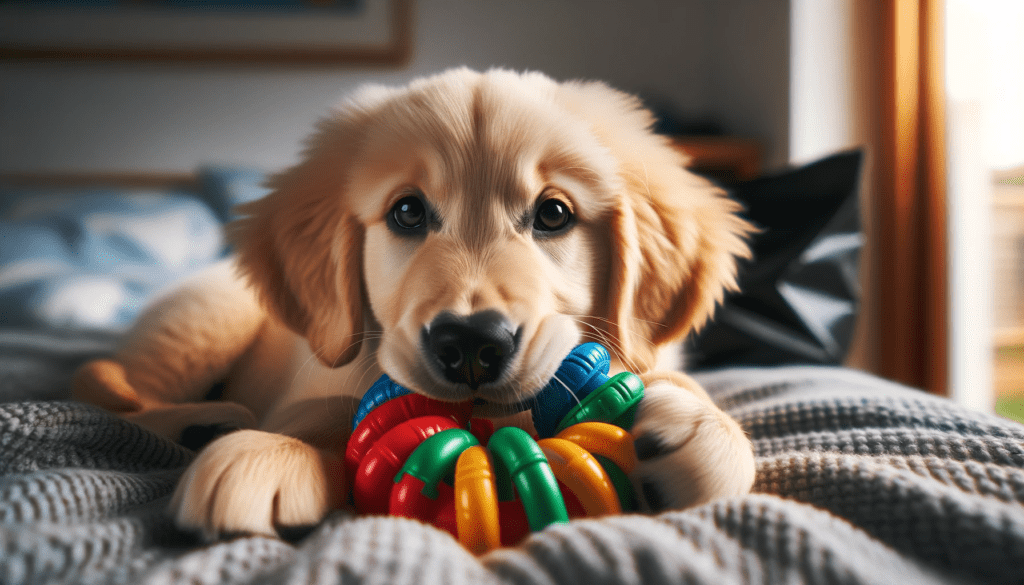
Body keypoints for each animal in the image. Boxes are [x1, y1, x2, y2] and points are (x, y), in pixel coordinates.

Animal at [72, 67, 757, 540]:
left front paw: (704, 431)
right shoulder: (320, 377)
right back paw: (203, 422)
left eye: (554, 214)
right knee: (113, 393)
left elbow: (677, 387)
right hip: (208, 315)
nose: (472, 345)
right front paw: (269, 455)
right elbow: (320, 414)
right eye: (407, 212)